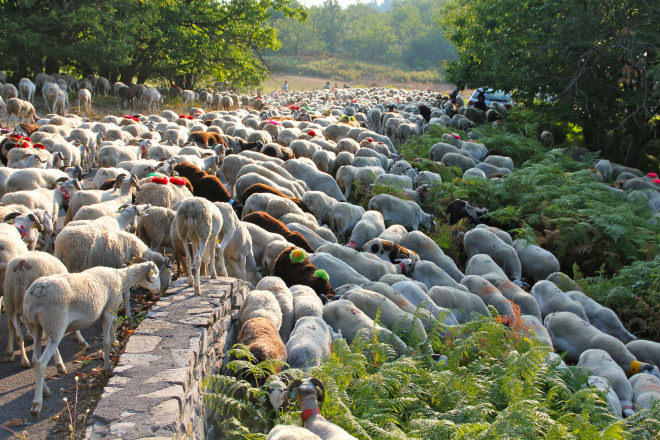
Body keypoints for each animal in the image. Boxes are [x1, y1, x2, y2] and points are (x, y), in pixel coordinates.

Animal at [25, 262, 162, 416]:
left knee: (35, 360)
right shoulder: (108, 311)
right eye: (156, 273)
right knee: (41, 362)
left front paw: (115, 347)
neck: (121, 278)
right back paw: (36, 404)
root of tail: (35, 295)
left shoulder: (110, 311)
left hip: (35, 327)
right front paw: (108, 367)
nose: (159, 290)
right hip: (55, 325)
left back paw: (45, 390)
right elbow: (106, 340)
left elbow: (113, 329)